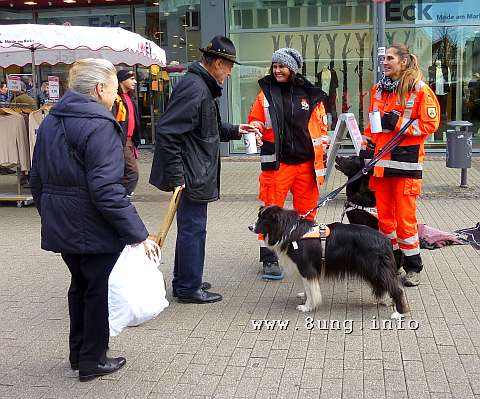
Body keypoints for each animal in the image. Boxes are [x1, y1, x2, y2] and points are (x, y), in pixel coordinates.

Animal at [248, 206, 408, 318]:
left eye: (263, 219)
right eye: (258, 216)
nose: (250, 227)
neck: (289, 231)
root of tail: (386, 241)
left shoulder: (306, 268)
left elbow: (311, 290)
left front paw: (307, 306)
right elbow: (308, 288)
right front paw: (305, 297)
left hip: (375, 268)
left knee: (397, 289)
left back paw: (398, 313)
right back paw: (386, 300)